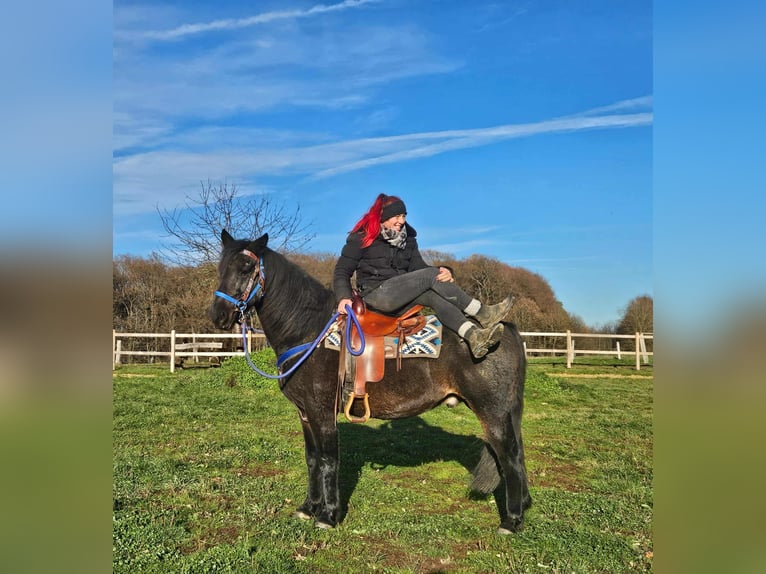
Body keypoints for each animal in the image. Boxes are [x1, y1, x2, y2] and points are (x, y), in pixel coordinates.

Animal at [208, 230, 532, 534]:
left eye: (247, 267)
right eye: (222, 267)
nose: (218, 315)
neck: (309, 332)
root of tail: (505, 330)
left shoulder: (323, 413)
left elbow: (328, 461)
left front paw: (328, 516)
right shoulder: (305, 414)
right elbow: (312, 459)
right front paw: (308, 508)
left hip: (492, 412)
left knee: (511, 457)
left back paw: (511, 521)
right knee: (516, 453)